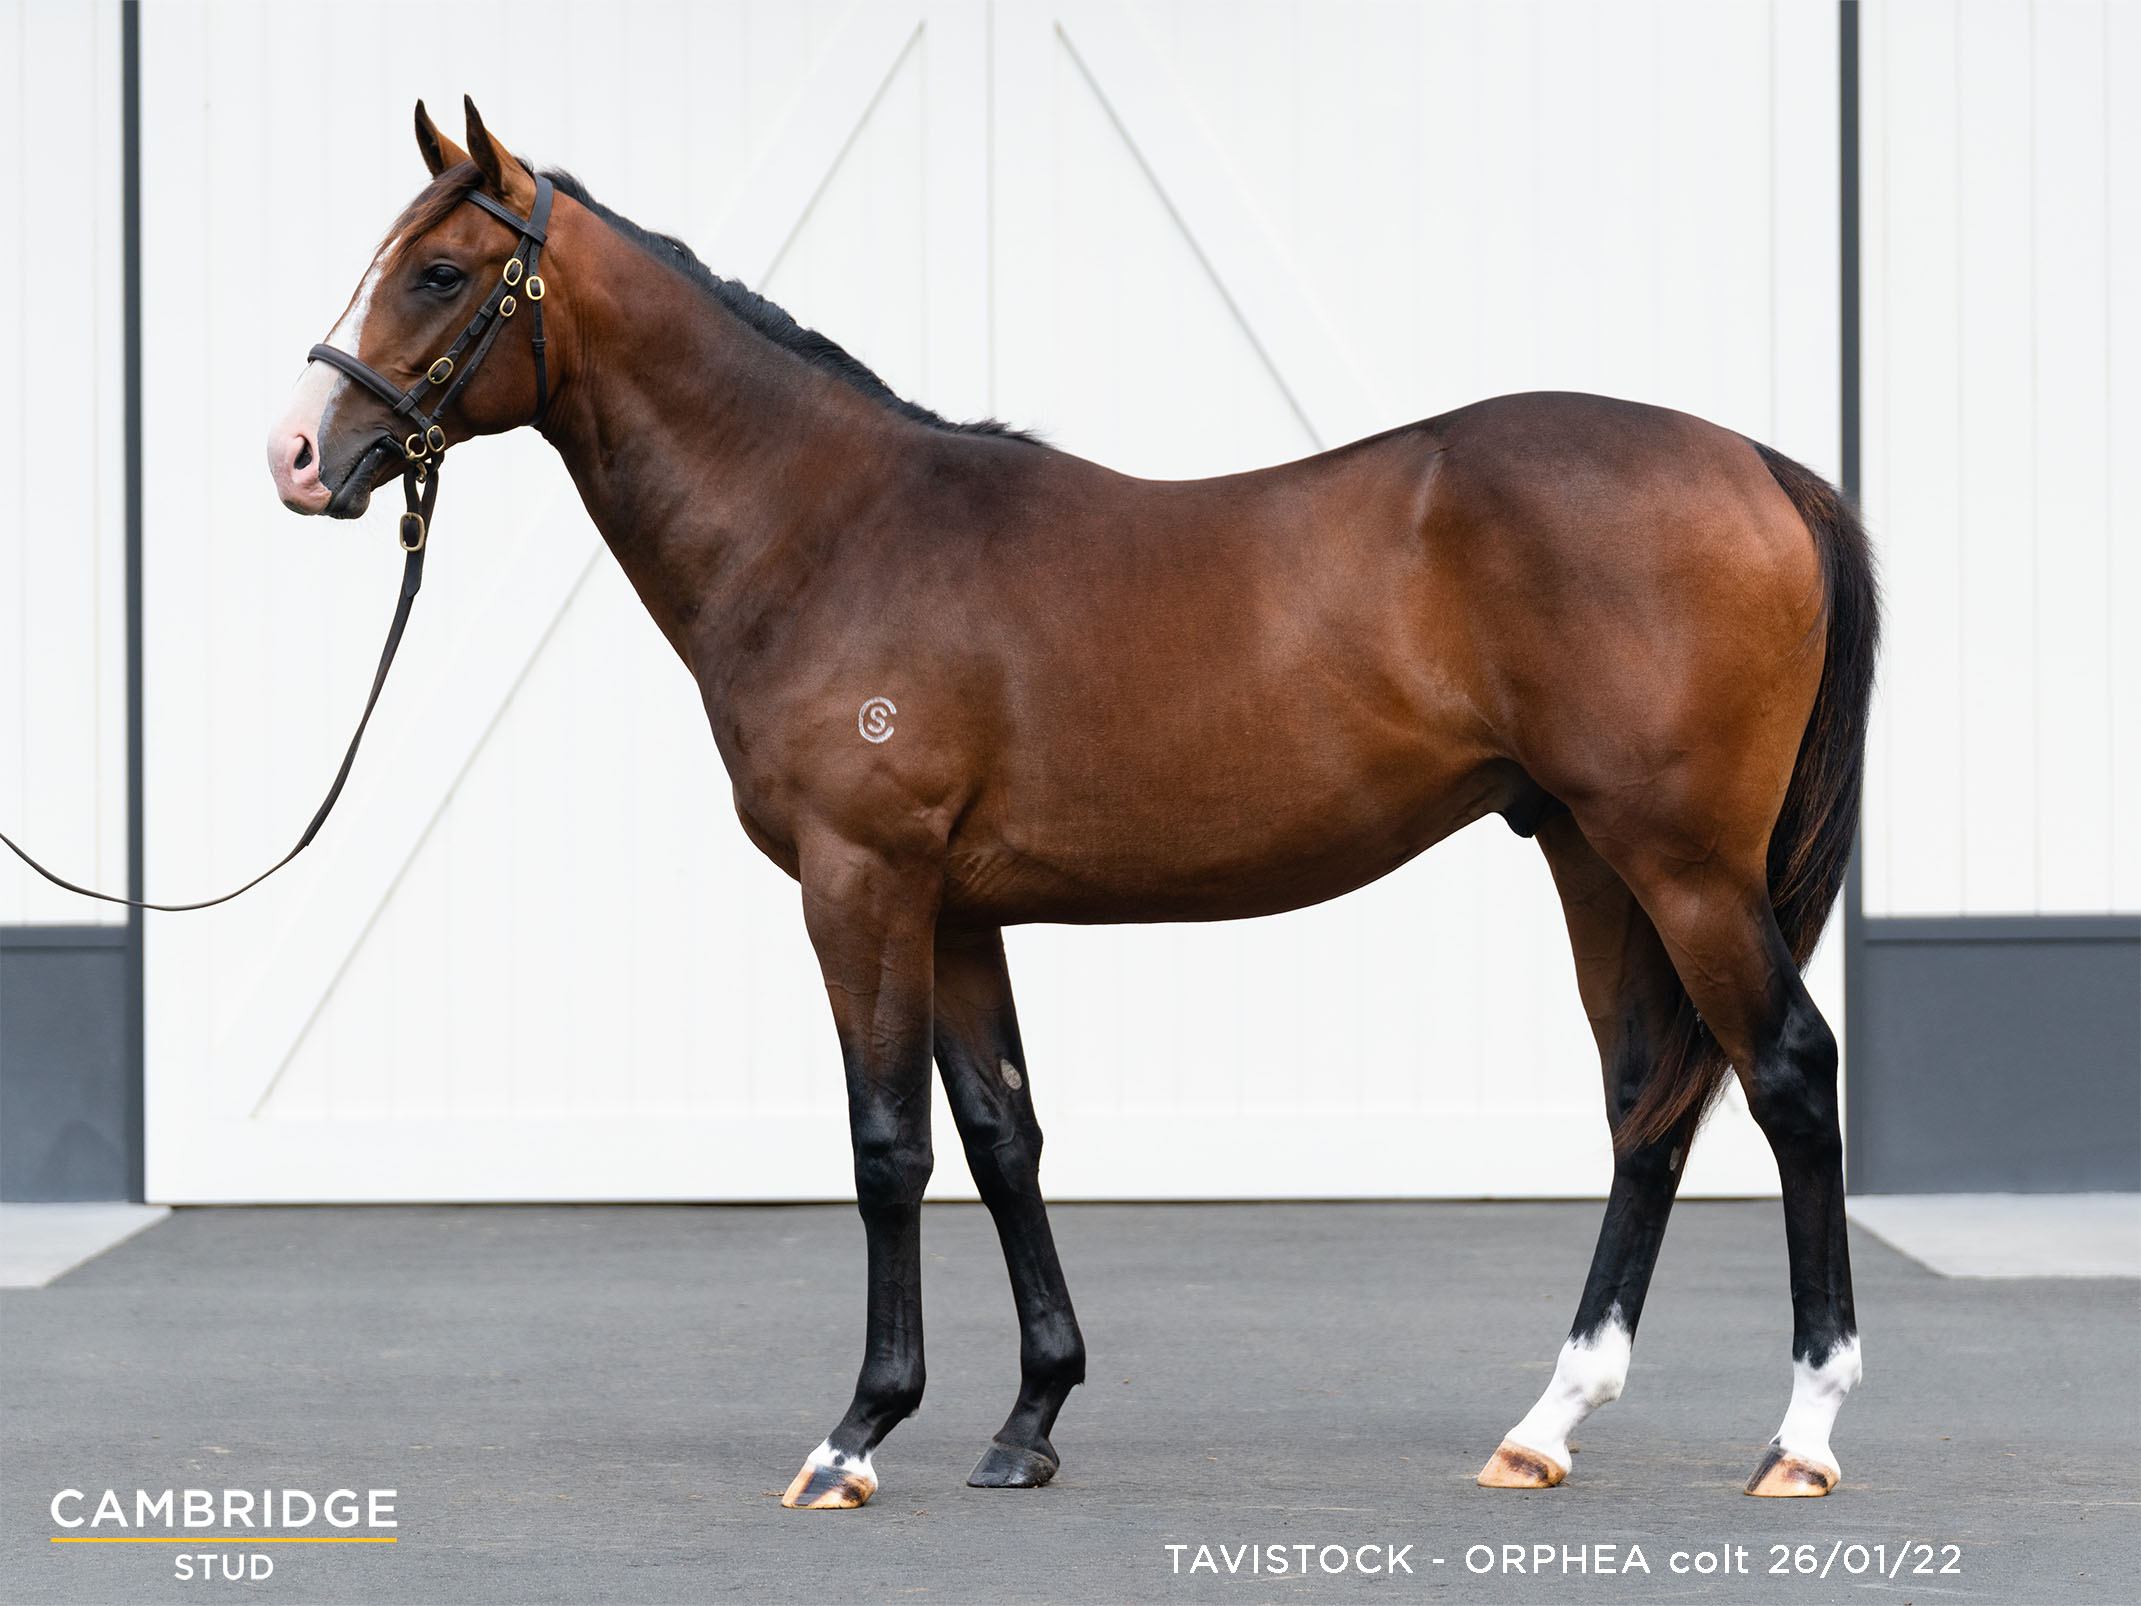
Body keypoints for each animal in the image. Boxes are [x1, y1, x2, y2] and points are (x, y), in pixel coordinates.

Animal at [266, 100, 1877, 1508]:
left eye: (438, 269)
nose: (295, 456)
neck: (827, 530)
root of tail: (1760, 466)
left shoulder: (861, 885)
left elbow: (887, 1146)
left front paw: (857, 1435)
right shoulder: (954, 908)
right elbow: (1001, 1136)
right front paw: (1029, 1416)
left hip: (1681, 863)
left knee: (1786, 1072)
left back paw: (1800, 1436)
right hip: (1595, 858)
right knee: (1647, 1107)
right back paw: (1545, 1423)